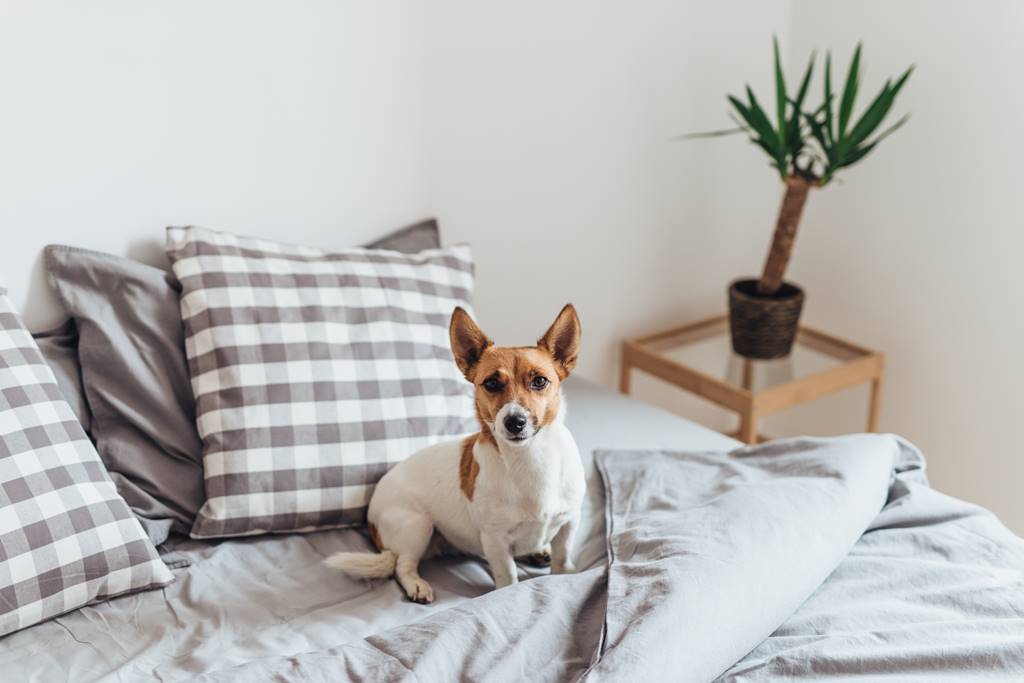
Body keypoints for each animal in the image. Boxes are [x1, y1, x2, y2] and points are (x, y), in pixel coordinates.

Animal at [327, 305, 585, 602]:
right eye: (491, 384)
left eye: (540, 381)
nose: (514, 421)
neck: (530, 458)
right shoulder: (495, 540)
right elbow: (507, 578)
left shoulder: (569, 524)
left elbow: (562, 558)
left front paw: (563, 574)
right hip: (416, 525)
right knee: (402, 565)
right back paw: (416, 585)